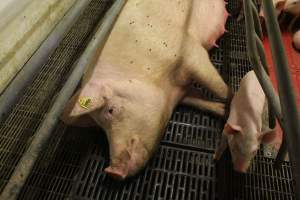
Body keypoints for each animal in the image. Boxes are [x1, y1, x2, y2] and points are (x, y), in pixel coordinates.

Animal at [60, 0, 230, 180]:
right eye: (100, 126)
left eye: (111, 110)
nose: (112, 171)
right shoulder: (180, 91)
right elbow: (199, 100)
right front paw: (222, 110)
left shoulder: (190, 53)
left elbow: (220, 89)